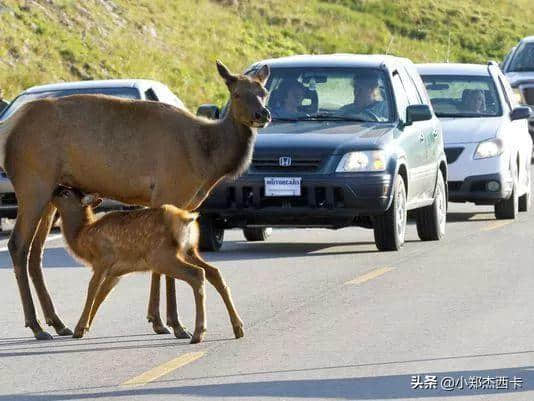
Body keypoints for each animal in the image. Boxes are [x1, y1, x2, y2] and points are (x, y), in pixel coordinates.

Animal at [51, 186, 244, 342]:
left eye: (65, 193)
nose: (54, 189)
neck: (83, 237)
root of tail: (185, 220)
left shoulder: (103, 260)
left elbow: (92, 289)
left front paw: (79, 328)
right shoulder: (116, 272)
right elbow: (102, 294)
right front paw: (88, 325)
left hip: (161, 256)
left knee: (197, 274)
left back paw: (198, 333)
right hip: (189, 251)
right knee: (214, 272)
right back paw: (238, 328)